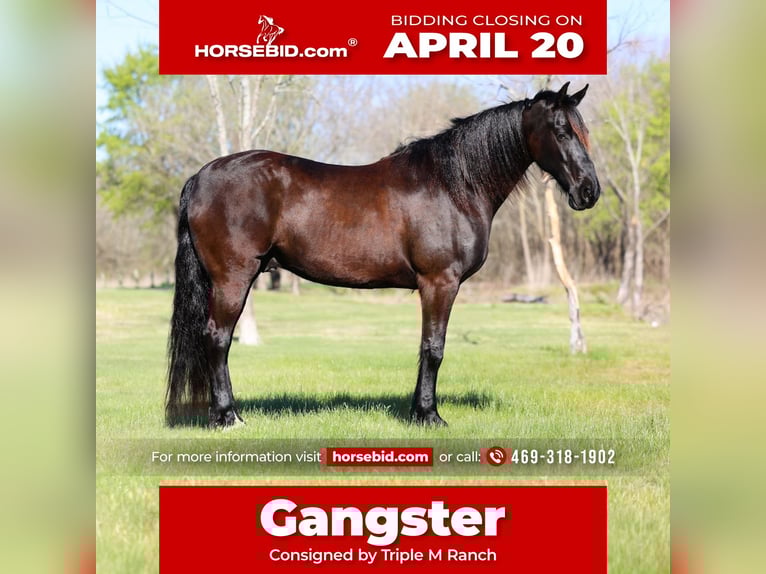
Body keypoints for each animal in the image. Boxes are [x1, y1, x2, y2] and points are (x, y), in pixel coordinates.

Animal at [166, 82, 600, 428]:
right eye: (561, 131)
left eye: (583, 131)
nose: (589, 191)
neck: (454, 186)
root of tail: (200, 176)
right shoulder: (440, 283)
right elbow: (434, 348)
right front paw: (429, 415)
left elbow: (425, 347)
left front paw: (417, 411)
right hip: (233, 278)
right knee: (218, 339)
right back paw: (228, 417)